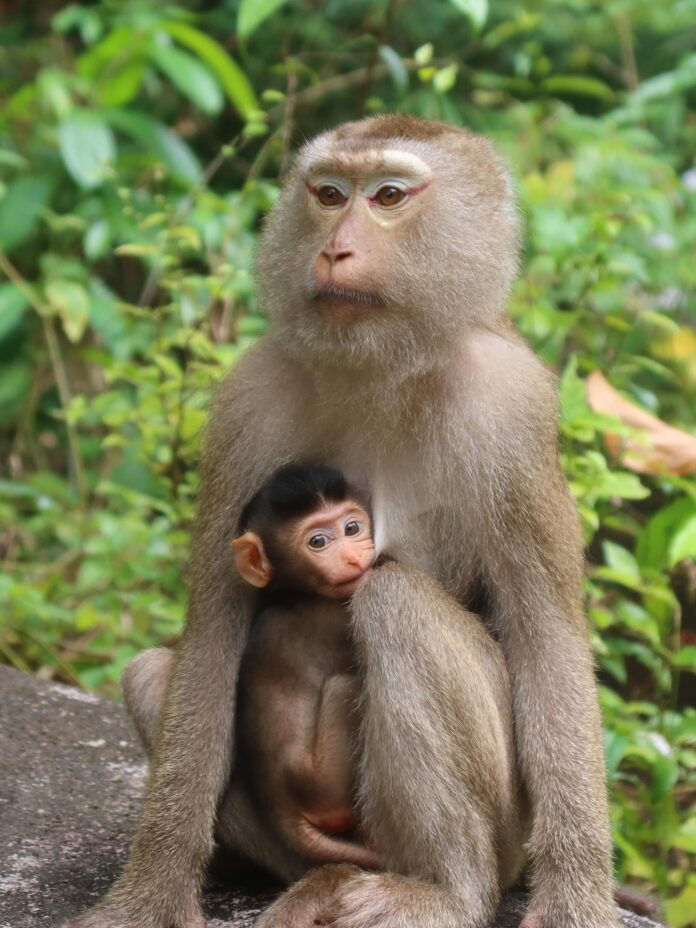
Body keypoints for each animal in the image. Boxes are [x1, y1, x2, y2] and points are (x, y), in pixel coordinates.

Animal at [64, 115, 619, 928]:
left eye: (387, 196)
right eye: (328, 195)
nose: (335, 248)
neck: (380, 365)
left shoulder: (509, 406)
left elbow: (547, 641)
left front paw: (575, 900)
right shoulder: (248, 399)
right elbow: (213, 630)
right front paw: (151, 892)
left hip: (504, 829)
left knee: (395, 603)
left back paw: (449, 891)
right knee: (153, 671)